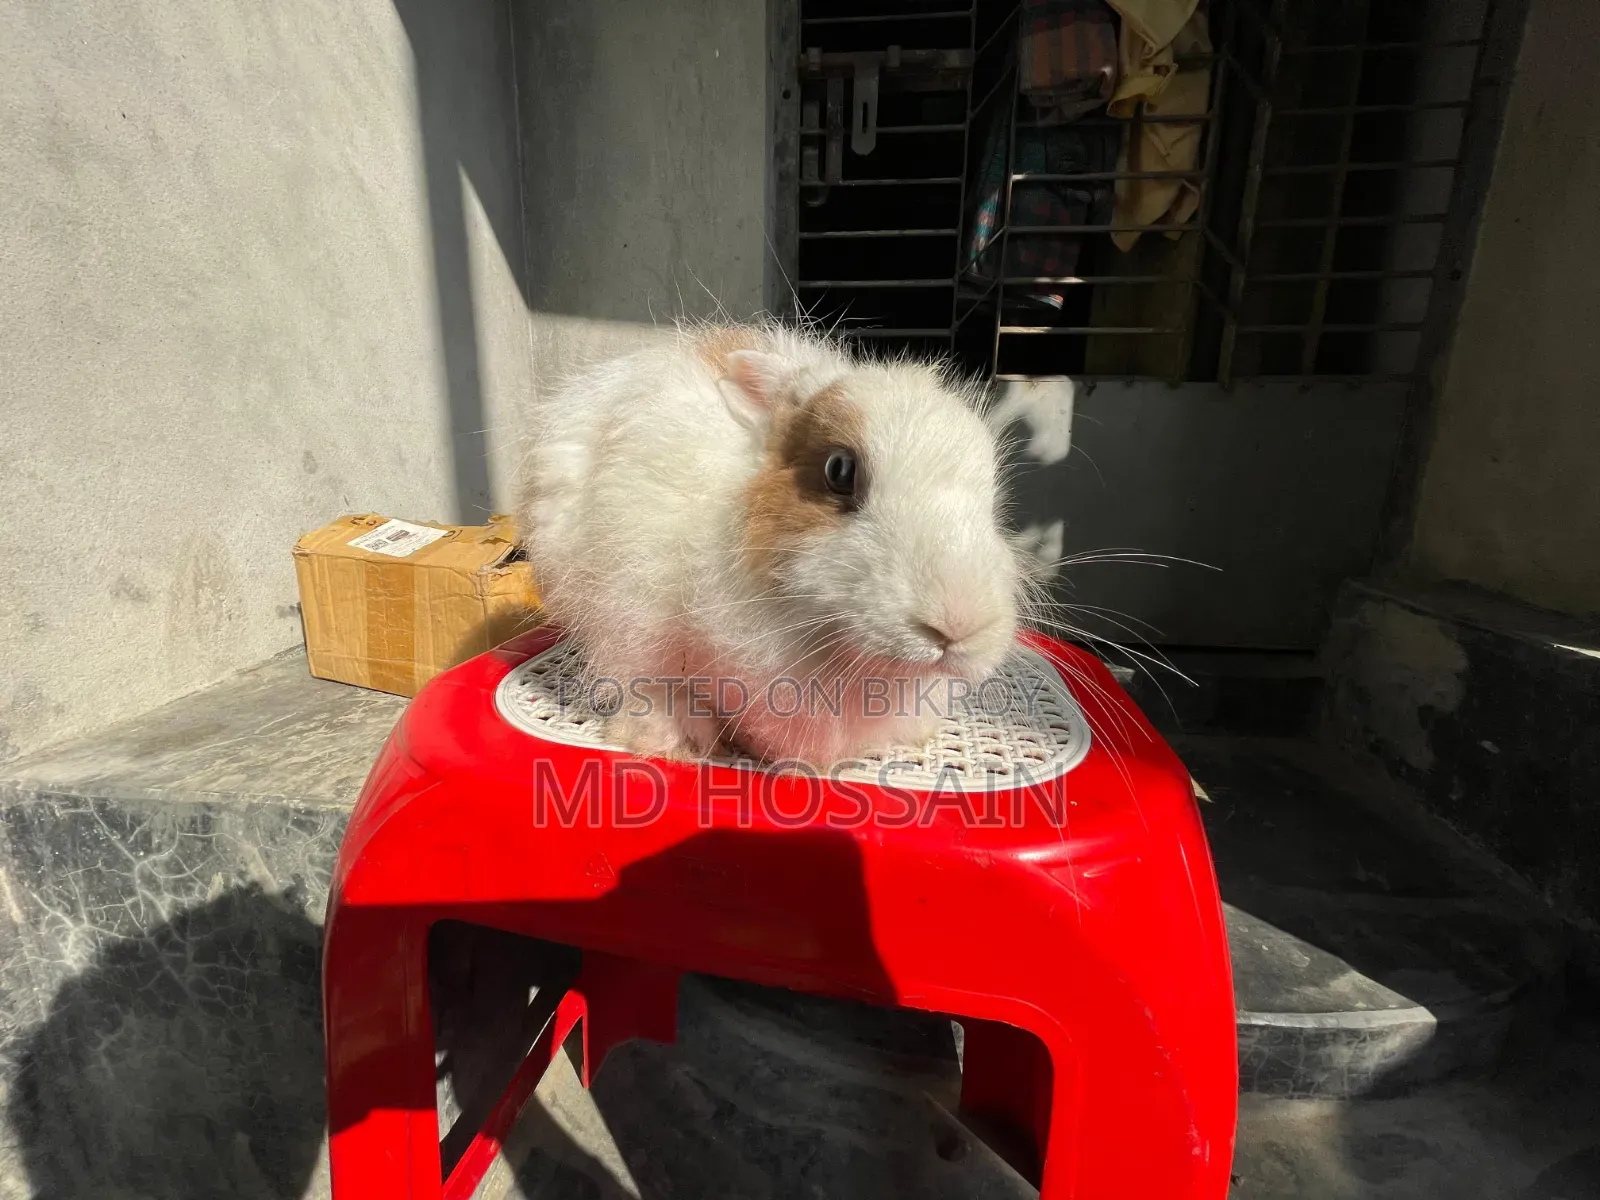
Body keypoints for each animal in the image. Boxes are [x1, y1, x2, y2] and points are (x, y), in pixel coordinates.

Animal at [517, 320, 1024, 767]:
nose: (958, 625)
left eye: (992, 494)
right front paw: (677, 740)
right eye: (839, 470)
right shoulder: (632, 612)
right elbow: (652, 684)